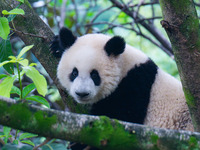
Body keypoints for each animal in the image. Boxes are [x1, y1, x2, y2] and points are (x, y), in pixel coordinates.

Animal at [50, 27, 194, 131]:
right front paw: (57, 45)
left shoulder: (135, 85)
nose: (82, 93)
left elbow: (121, 119)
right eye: (74, 73)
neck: (125, 66)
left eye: (95, 75)